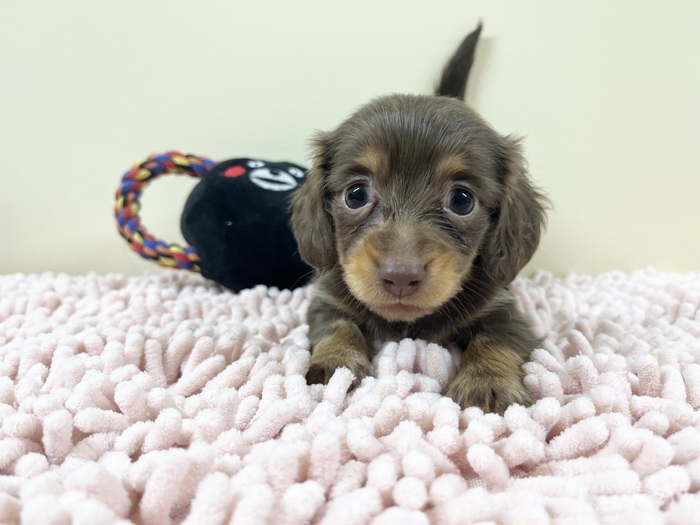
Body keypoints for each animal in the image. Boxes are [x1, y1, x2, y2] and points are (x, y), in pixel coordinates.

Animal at [290, 24, 548, 414]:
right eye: (356, 194)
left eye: (461, 200)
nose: (400, 277)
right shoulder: (327, 300)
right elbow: (337, 327)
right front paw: (334, 364)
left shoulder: (505, 311)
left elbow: (495, 339)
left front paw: (488, 381)